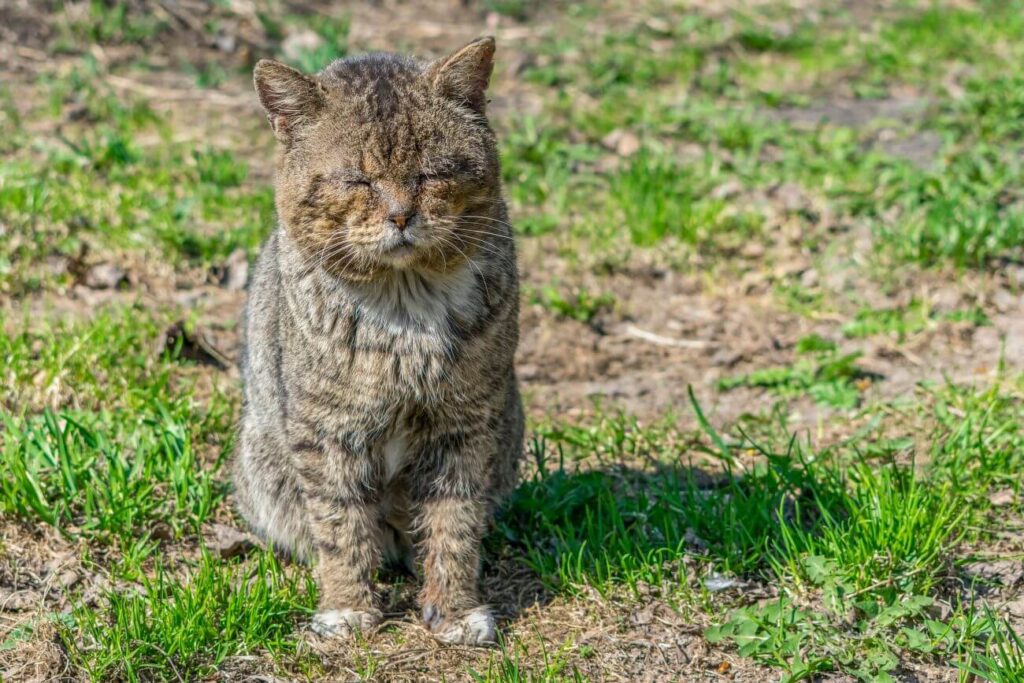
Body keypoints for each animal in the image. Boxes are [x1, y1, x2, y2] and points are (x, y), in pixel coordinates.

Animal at [229, 37, 524, 647]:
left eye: (431, 174)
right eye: (357, 180)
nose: (401, 215)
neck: (404, 310)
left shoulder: (464, 426)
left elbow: (454, 526)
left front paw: (455, 610)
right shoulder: (327, 430)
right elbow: (341, 526)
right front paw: (347, 608)